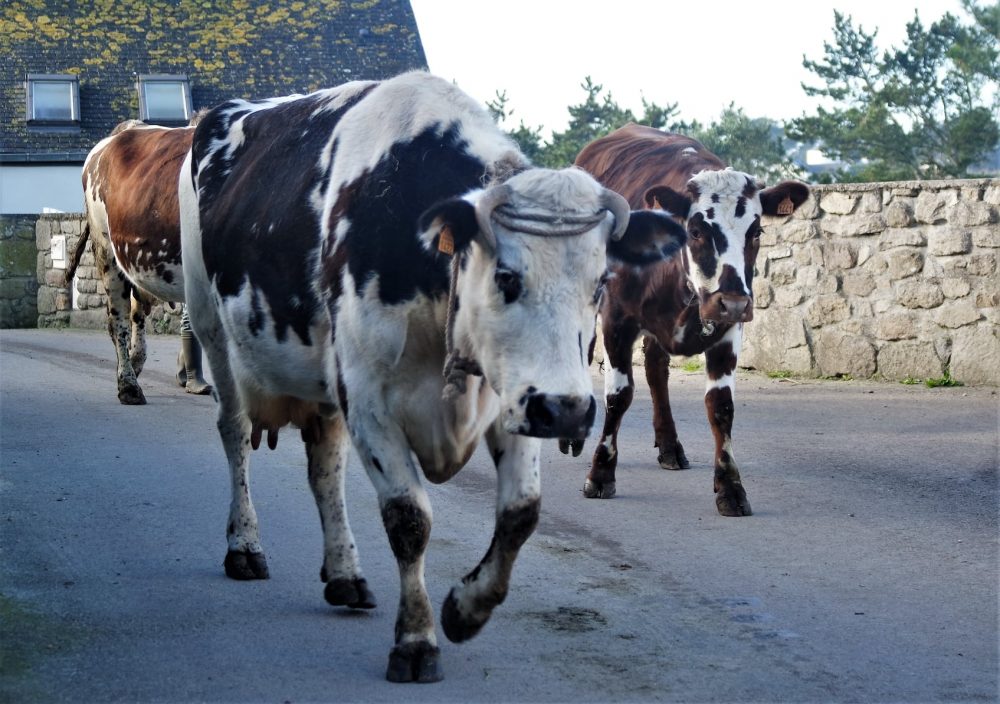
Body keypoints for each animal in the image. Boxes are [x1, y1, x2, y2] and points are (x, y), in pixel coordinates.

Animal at [178, 72, 688, 683]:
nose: (569, 410)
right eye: (506, 276)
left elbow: (521, 513)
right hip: (212, 331)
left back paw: (345, 573)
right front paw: (416, 640)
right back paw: (245, 547)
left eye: (602, 281)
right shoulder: (369, 401)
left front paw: (467, 609)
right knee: (234, 435)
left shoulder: (512, 396)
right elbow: (410, 520)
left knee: (325, 464)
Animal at [572, 123, 809, 514]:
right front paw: (601, 473)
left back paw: (669, 446)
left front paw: (730, 486)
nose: (733, 302)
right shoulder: (617, 319)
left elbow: (721, 405)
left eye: (756, 232)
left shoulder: (727, 329)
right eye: (697, 231)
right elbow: (619, 396)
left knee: (656, 369)